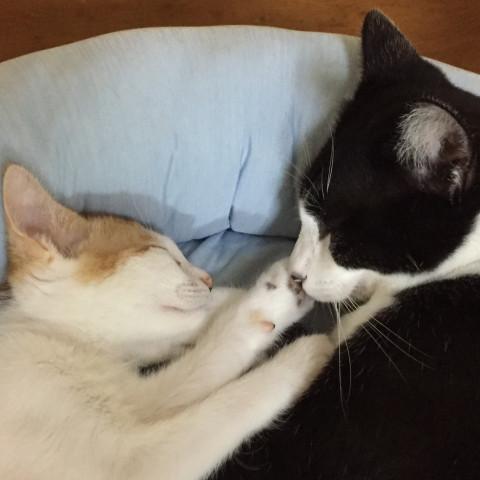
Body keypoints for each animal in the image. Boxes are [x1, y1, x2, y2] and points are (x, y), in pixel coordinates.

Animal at [0, 164, 334, 480]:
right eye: (163, 253)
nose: (208, 279)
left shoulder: (134, 397)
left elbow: (200, 364)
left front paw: (246, 301)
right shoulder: (130, 461)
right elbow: (223, 405)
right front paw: (300, 344)